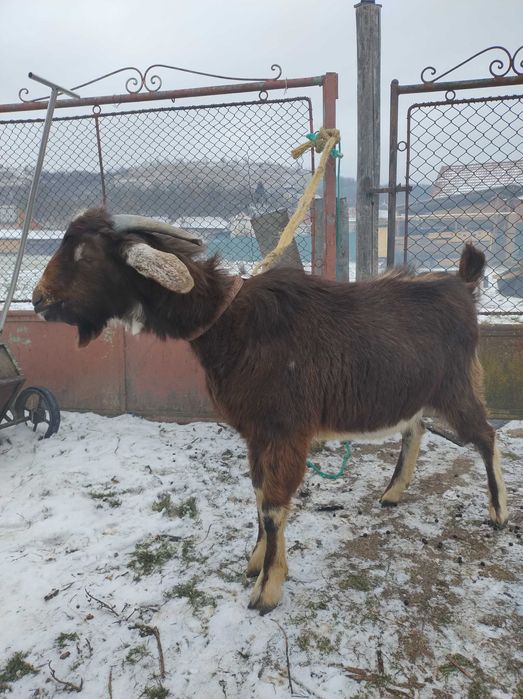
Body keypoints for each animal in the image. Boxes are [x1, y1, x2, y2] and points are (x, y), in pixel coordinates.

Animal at [32, 208, 508, 614]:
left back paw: (499, 514)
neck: (230, 323)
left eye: (86, 255)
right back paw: (393, 493)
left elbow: (273, 507)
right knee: (416, 429)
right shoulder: (256, 432)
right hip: (414, 391)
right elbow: (259, 495)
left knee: (485, 435)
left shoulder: (284, 430)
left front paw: (267, 589)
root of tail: (461, 285)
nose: (38, 300)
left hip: (456, 386)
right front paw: (256, 560)